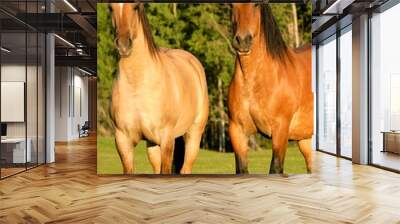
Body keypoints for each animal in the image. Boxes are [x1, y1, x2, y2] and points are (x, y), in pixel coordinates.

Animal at [109, 3, 209, 175]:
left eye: (135, 7)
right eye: (110, 7)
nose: (123, 44)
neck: (138, 85)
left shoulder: (166, 138)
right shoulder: (123, 139)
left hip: (194, 134)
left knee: (185, 168)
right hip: (152, 143)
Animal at [230, 3, 314, 175]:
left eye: (256, 4)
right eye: (231, 5)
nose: (242, 41)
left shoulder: (280, 130)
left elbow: (276, 168)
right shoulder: (237, 131)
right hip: (306, 141)